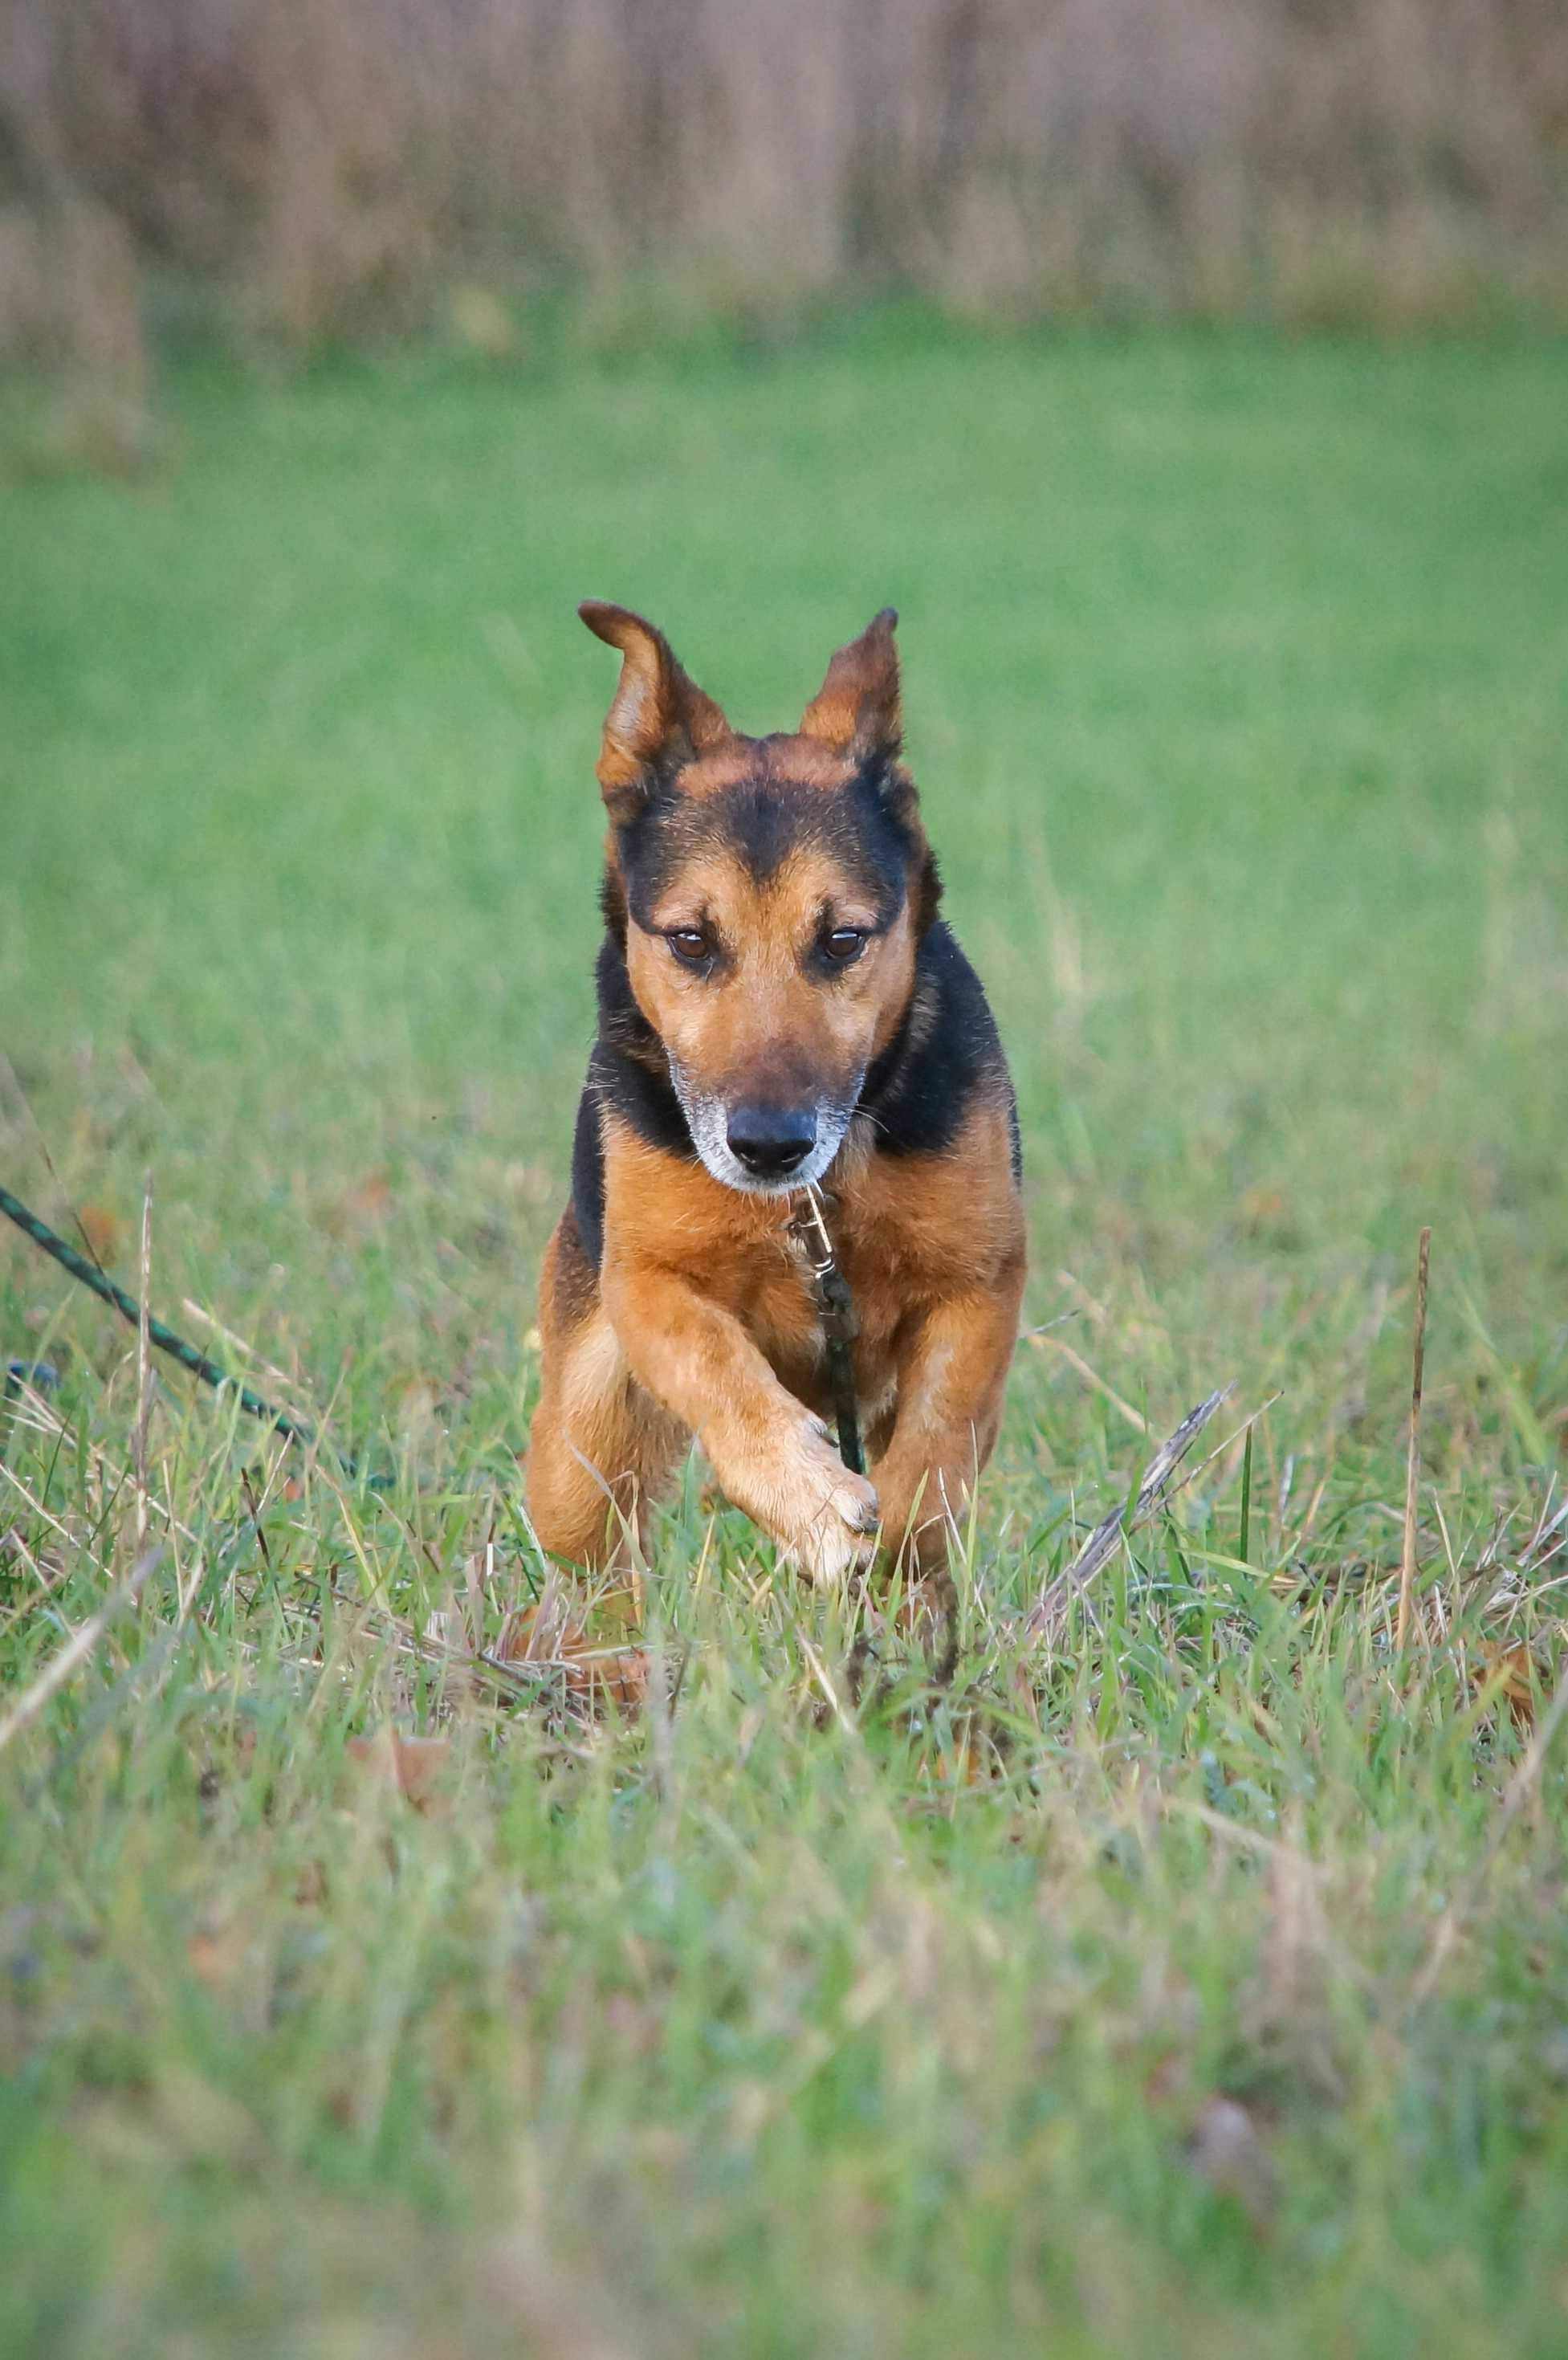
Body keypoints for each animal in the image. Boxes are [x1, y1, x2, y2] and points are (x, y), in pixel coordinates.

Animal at [525, 599, 1028, 1576]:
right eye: (690, 940)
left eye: (842, 939)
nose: (767, 1148)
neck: (812, 1203)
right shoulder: (645, 1277)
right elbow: (711, 1361)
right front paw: (804, 1497)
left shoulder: (980, 1282)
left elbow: (935, 1450)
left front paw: (889, 1546)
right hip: (576, 1453)